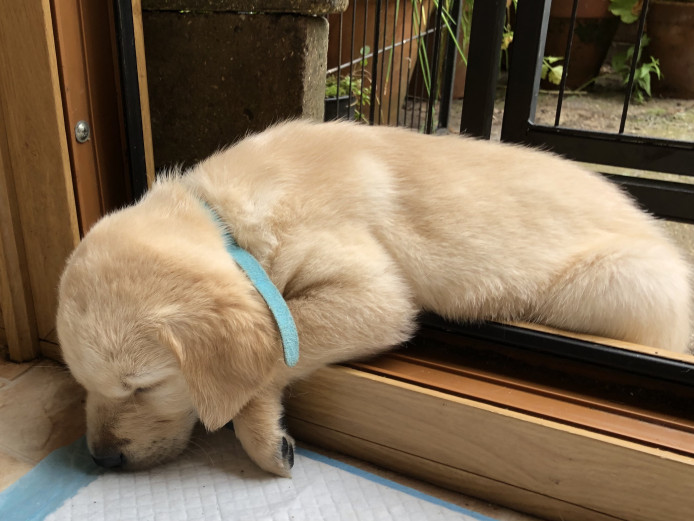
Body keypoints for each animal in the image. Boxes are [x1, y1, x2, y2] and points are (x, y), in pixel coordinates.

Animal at [57, 120, 692, 478]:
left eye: (143, 386)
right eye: (83, 383)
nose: (101, 460)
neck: (228, 221)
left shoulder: (375, 295)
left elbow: (278, 346)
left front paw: (256, 436)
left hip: (617, 283)